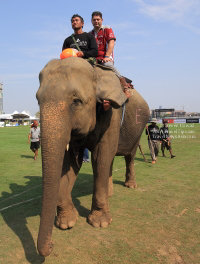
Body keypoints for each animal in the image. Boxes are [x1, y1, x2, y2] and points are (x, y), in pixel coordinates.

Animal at [36, 57, 149, 256]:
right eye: (37, 100)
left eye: (76, 101)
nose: (51, 246)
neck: (95, 72)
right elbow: (71, 164)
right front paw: (66, 223)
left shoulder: (112, 114)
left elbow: (100, 157)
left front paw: (100, 222)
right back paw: (110, 193)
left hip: (139, 127)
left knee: (129, 156)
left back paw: (130, 185)